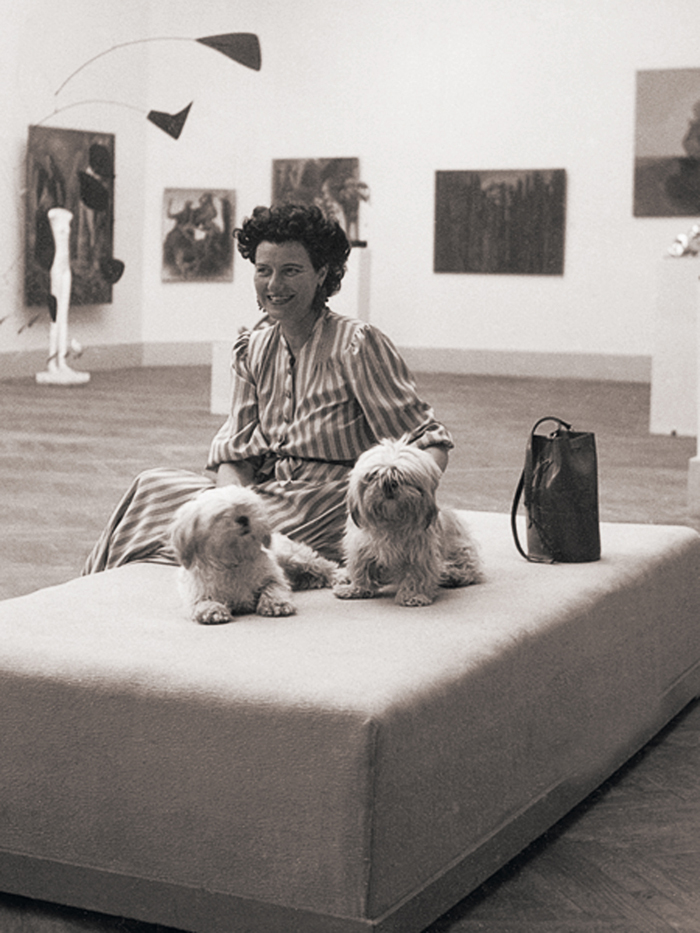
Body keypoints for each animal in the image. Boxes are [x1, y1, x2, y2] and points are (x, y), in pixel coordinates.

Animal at [172, 484, 342, 624]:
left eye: (247, 507)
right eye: (221, 515)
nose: (243, 518)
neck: (234, 560)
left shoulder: (273, 576)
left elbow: (273, 588)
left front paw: (276, 604)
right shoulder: (196, 591)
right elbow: (201, 601)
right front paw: (213, 610)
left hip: (293, 558)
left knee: (323, 565)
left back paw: (339, 577)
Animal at [334, 440, 482, 608]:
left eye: (403, 476)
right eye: (374, 475)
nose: (389, 483)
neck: (392, 521)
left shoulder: (419, 552)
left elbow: (417, 574)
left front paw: (413, 595)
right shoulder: (360, 547)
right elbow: (360, 568)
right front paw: (356, 588)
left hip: (462, 551)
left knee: (467, 570)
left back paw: (450, 574)